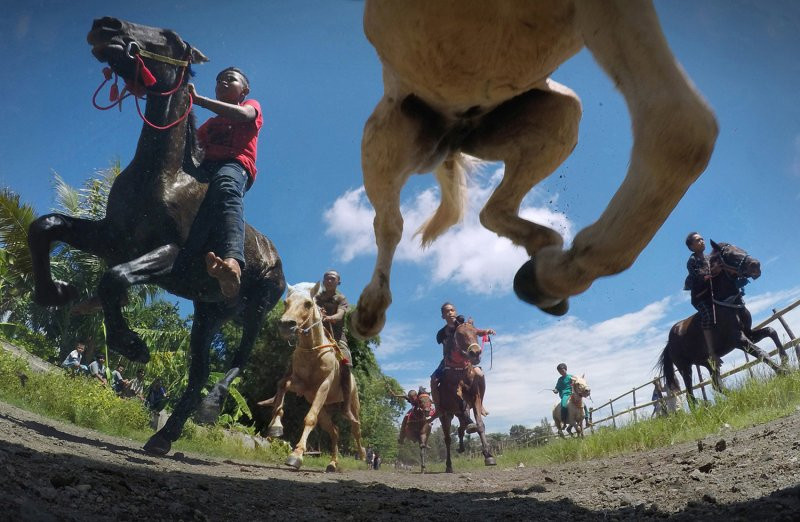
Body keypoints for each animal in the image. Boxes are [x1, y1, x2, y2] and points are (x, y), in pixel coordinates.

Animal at [27, 18, 284, 452]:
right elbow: (46, 226)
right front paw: (56, 292)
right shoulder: (113, 239)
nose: (106, 26)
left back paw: (209, 407)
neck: (163, 175)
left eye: (172, 39)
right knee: (198, 373)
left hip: (256, 312)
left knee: (236, 363)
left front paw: (133, 344)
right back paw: (163, 438)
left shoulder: (172, 255)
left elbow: (114, 278)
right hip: (209, 313)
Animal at [260, 282, 366, 470]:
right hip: (324, 411)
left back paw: (363, 456)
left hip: (353, 407)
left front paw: (296, 455)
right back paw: (332, 463)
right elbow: (282, 384)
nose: (286, 325)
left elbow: (309, 419)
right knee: (335, 432)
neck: (313, 352)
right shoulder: (302, 386)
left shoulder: (323, 386)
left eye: (308, 303)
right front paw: (276, 427)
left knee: (356, 429)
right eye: (286, 302)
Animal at [350, 0, 720, 340]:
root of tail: (454, 137)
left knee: (491, 211)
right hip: (386, 139)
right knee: (389, 224)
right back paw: (370, 309)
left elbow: (684, 131)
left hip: (559, 115)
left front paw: (550, 277)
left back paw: (545, 262)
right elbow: (682, 131)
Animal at [438, 320, 494, 472]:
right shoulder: (454, 395)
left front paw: (488, 455)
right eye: (459, 335)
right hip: (445, 414)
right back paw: (449, 465)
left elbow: (480, 424)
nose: (475, 353)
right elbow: (461, 403)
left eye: (476, 332)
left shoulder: (475, 397)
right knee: (447, 438)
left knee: (460, 428)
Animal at [656, 240, 788, 402]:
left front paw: (784, 359)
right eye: (728, 255)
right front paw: (783, 372)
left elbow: (771, 331)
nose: (755, 265)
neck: (729, 304)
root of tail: (669, 343)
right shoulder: (738, 340)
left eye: (741, 249)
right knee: (690, 395)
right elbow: (761, 353)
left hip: (708, 362)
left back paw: (735, 397)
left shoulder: (749, 334)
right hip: (685, 367)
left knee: (716, 384)